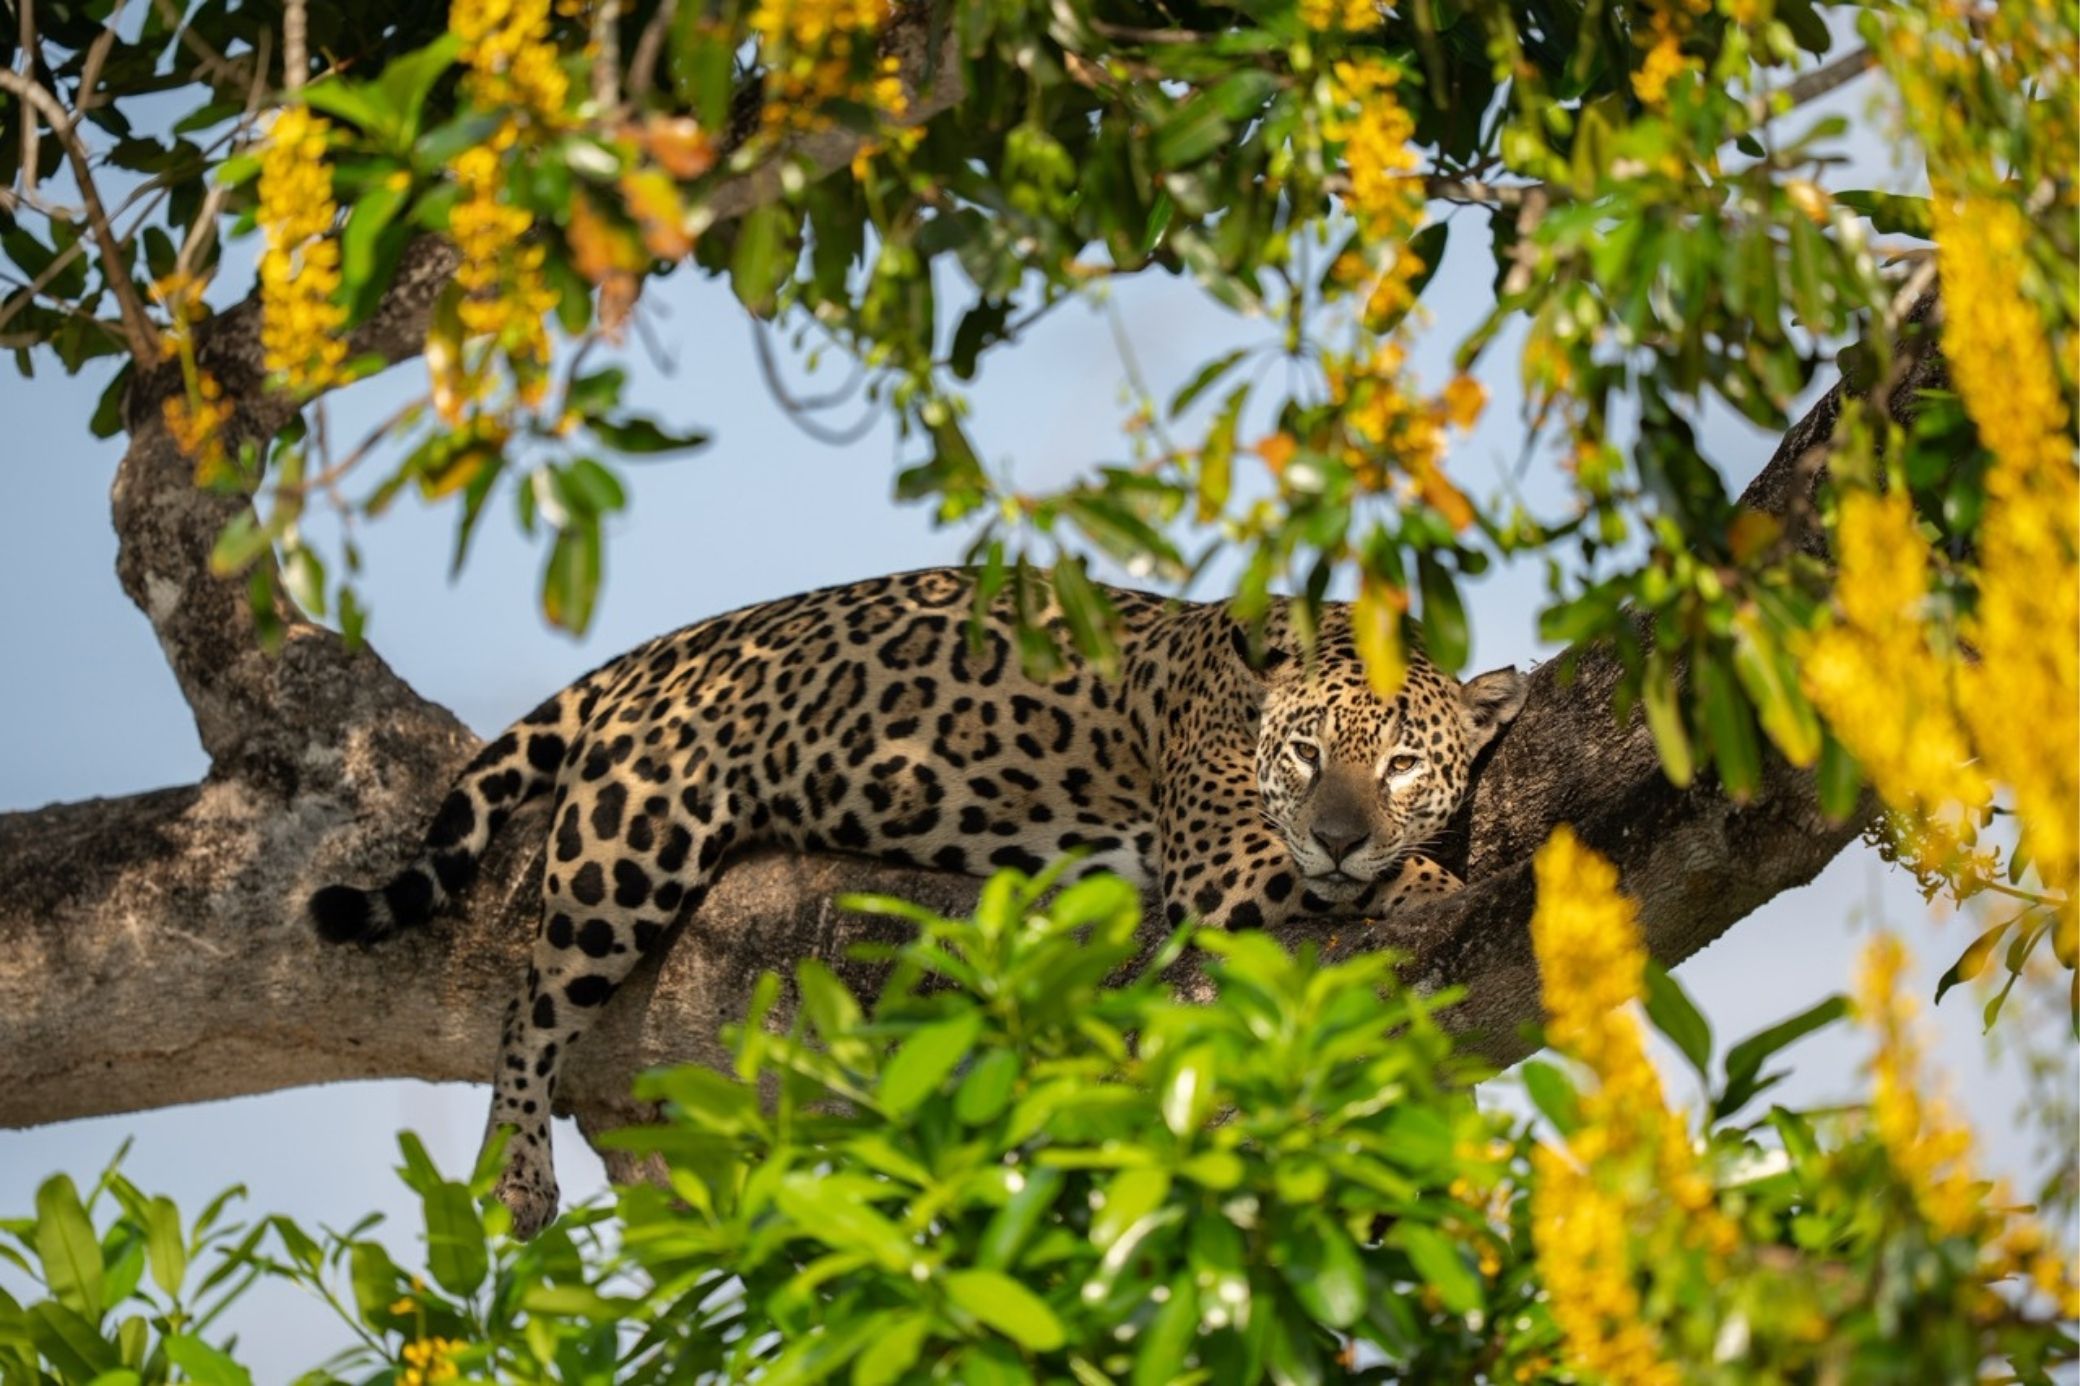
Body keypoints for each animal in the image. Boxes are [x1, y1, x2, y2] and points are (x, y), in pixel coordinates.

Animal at [309, 566, 1527, 1236]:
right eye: (1308, 752)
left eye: (1403, 768)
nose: (1337, 834)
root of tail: (666, 646)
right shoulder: (1226, 858)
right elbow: (1380, 883)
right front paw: (1426, 879)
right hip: (632, 840)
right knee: (528, 1006)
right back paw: (518, 1176)